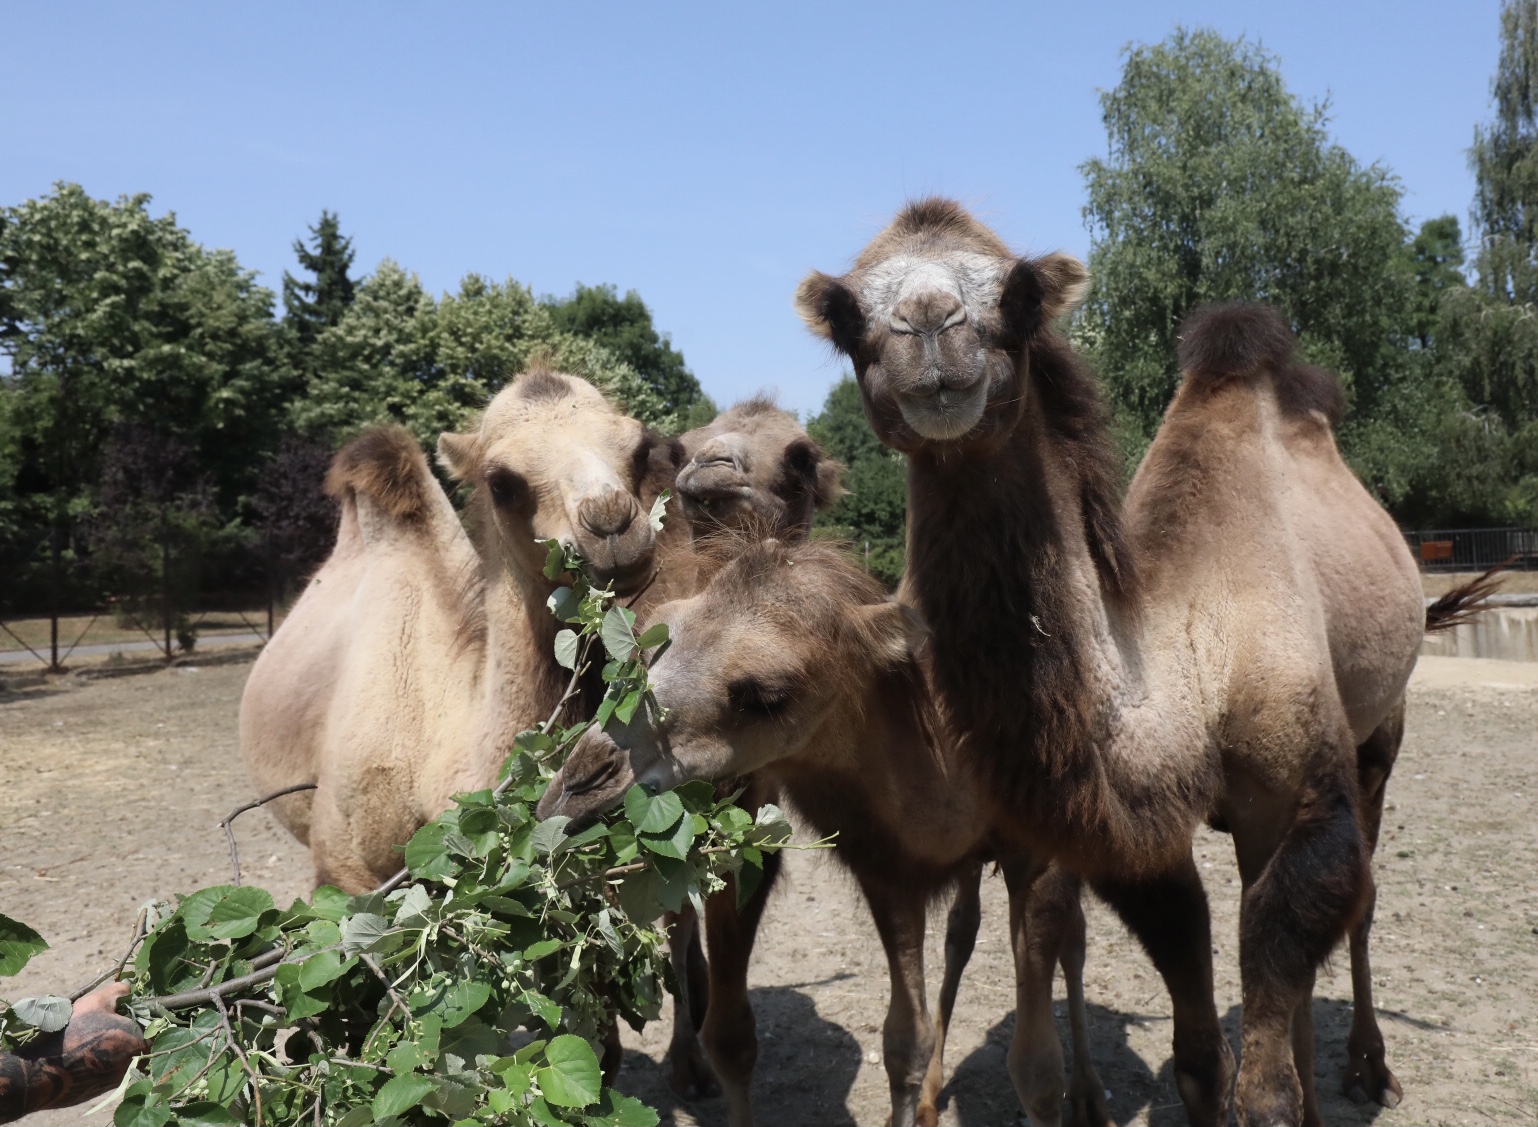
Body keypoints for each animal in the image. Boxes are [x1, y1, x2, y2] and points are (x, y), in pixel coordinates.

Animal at [541, 535, 1107, 1125]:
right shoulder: (889, 869)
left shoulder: (1043, 859)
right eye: (653, 638)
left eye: (766, 694)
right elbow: (904, 1042)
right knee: (963, 930)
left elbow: (1038, 1072)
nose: (574, 788)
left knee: (1074, 942)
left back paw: (1090, 1095)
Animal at [793, 198, 1439, 1119]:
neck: (1193, 660)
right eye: (849, 318)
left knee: (1363, 896)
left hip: (1381, 729)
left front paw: (1298, 1090)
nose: (929, 327)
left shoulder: (1306, 788)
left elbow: (1266, 1077)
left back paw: (1368, 1068)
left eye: (1021, 299)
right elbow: (1199, 1049)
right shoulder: (1145, 845)